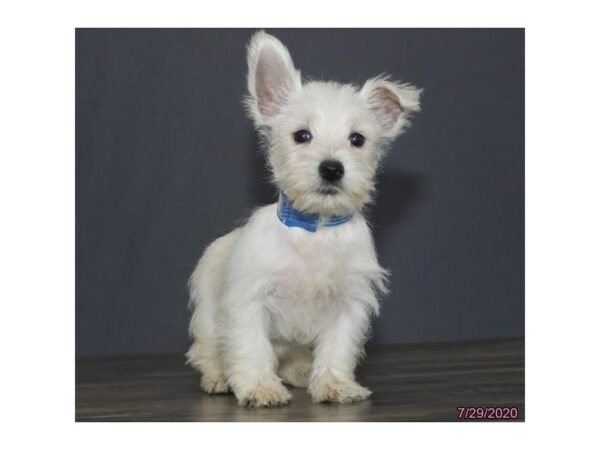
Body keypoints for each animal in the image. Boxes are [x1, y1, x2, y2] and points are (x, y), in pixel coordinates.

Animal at [188, 29, 422, 406]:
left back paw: (298, 370)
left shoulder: (348, 304)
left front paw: (334, 384)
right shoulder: (249, 302)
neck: (316, 229)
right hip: (208, 317)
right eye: (301, 135)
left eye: (357, 139)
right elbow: (251, 348)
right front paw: (260, 387)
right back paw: (219, 377)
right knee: (207, 351)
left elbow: (338, 349)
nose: (332, 168)